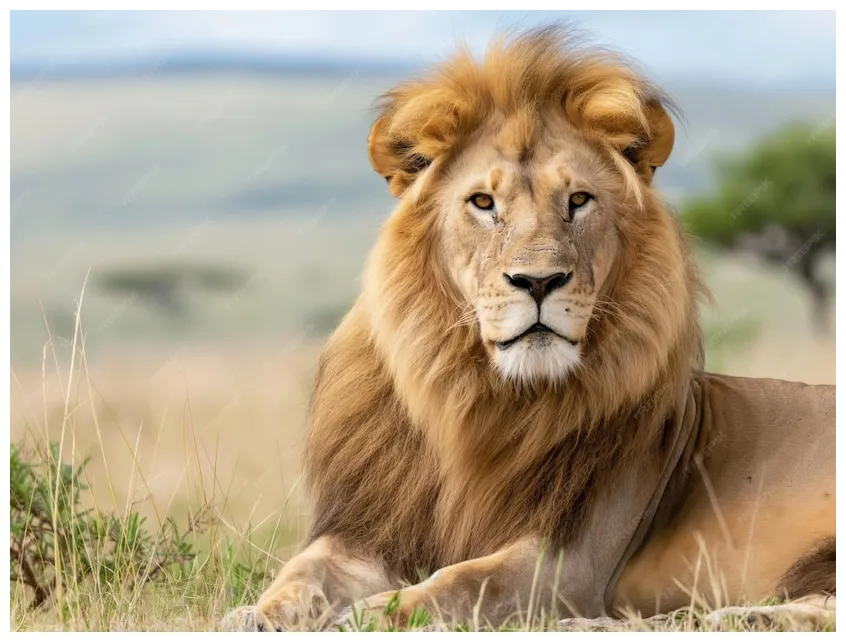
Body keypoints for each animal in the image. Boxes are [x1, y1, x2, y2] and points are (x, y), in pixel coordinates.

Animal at [222, 27, 835, 631]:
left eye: (579, 200)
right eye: (483, 202)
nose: (538, 281)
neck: (481, 401)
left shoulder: (572, 560)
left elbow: (463, 582)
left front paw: (370, 614)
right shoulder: (370, 529)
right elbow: (303, 571)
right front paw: (255, 614)